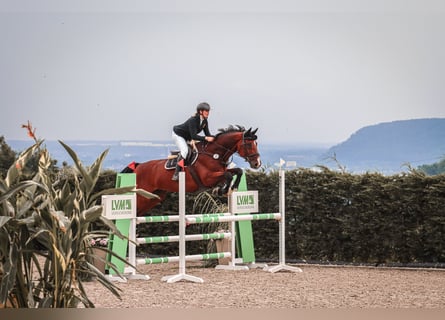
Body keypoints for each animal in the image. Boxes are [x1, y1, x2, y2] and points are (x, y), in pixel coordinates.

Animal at [121, 124, 260, 215]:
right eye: (248, 144)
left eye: (256, 144)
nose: (257, 163)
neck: (214, 154)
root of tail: (138, 166)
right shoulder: (208, 178)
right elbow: (228, 175)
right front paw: (223, 190)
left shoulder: (220, 172)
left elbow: (237, 171)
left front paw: (230, 188)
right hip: (142, 195)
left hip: (154, 197)